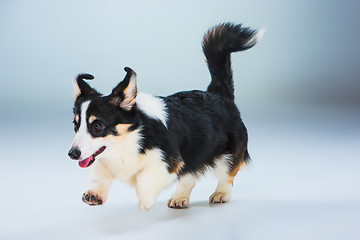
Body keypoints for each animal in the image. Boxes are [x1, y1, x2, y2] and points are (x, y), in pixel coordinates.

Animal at [69, 23, 262, 210]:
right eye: (76, 125)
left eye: (97, 125)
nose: (72, 154)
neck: (128, 140)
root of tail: (219, 94)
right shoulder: (103, 159)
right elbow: (99, 173)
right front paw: (94, 194)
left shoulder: (168, 162)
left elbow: (145, 180)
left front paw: (145, 202)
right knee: (189, 177)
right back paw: (180, 198)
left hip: (227, 155)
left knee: (227, 175)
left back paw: (221, 194)